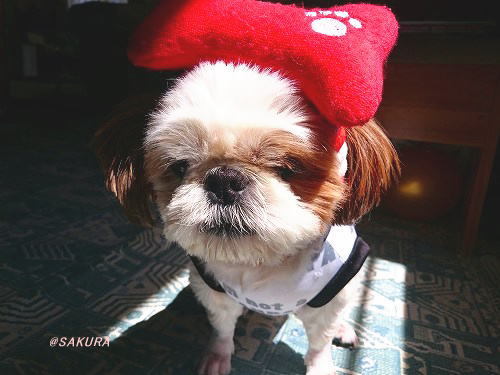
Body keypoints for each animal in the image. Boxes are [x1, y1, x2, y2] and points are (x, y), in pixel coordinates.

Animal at [93, 60, 398, 374]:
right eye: (180, 167)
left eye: (287, 168)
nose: (224, 180)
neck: (261, 261)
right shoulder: (215, 291)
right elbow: (223, 328)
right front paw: (217, 357)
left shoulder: (329, 296)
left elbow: (319, 342)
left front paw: (321, 366)